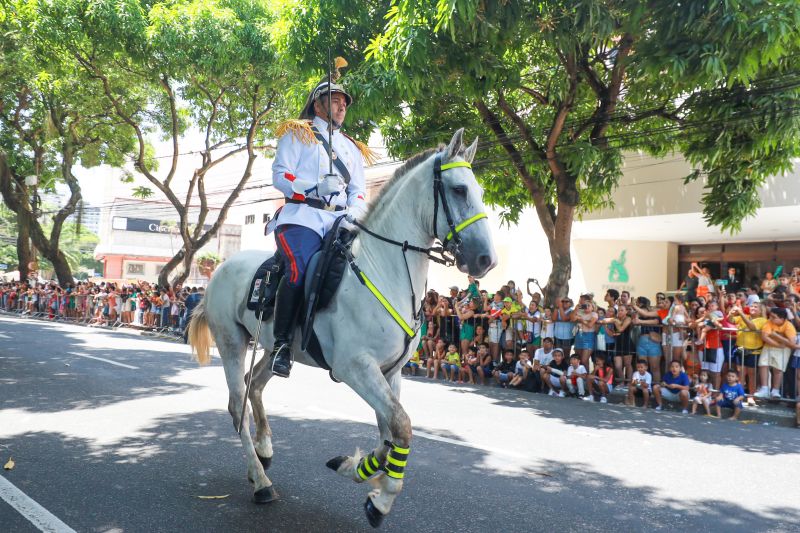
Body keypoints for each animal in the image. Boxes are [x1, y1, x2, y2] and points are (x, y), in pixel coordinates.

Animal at [188, 128, 496, 524]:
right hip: (230, 343)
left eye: (480, 192)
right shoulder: (355, 367)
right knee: (235, 402)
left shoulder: (391, 371)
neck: (384, 268)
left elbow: (389, 433)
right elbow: (401, 426)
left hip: (273, 348)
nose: (486, 259)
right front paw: (381, 499)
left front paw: (357, 469)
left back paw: (265, 451)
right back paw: (260, 480)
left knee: (253, 384)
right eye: (459, 190)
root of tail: (221, 269)